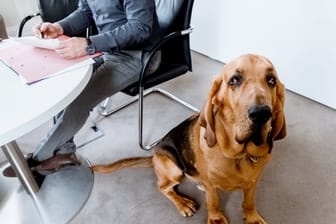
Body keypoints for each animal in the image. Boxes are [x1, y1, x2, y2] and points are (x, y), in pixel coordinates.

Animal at [91, 53, 286, 223]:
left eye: (271, 80)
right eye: (234, 80)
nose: (261, 114)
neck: (239, 156)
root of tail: (154, 155)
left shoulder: (253, 183)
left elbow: (249, 202)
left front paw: (252, 218)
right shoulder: (211, 186)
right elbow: (214, 203)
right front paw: (216, 219)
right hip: (175, 170)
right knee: (163, 187)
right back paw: (183, 203)